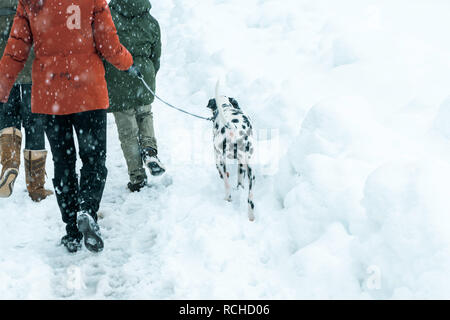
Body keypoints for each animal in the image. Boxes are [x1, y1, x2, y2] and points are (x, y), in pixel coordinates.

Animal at [207, 84, 255, 221]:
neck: (225, 107)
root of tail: (234, 128)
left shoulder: (216, 156)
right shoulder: (241, 164)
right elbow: (240, 180)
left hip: (221, 160)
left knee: (227, 185)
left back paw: (227, 198)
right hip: (251, 172)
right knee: (250, 199)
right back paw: (251, 216)